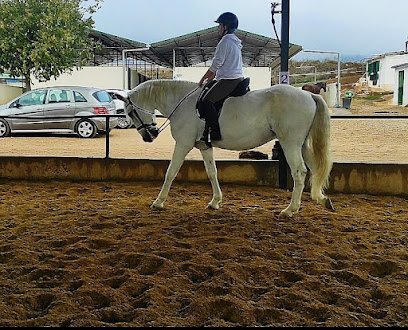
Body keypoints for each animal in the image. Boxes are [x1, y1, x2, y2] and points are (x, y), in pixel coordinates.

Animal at [119, 78, 334, 215]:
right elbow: (212, 172)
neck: (182, 102)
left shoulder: (183, 144)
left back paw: (290, 210)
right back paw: (322, 199)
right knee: (314, 169)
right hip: (301, 145)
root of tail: (308, 95)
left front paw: (158, 202)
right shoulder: (205, 146)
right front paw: (215, 201)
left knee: (299, 172)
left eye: (130, 111)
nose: (150, 135)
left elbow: (171, 172)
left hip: (290, 144)